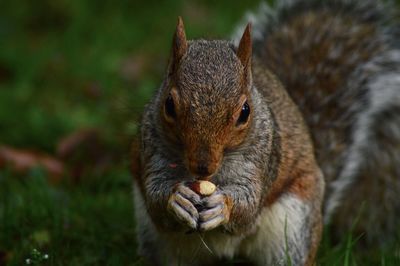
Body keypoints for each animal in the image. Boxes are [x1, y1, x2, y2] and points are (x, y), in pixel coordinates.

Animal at [133, 1, 400, 264]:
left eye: (245, 112)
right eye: (169, 105)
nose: (202, 166)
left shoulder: (263, 158)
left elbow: (249, 207)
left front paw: (223, 205)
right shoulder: (152, 148)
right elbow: (155, 198)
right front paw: (177, 198)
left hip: (295, 227)